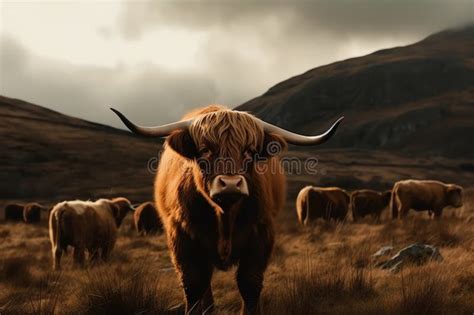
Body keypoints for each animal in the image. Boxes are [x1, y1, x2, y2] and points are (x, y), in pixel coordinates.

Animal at [111, 105, 340, 314]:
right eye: (205, 150)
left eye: (250, 151)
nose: (230, 184)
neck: (225, 217)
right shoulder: (181, 236)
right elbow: (193, 284)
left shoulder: (261, 234)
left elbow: (250, 283)